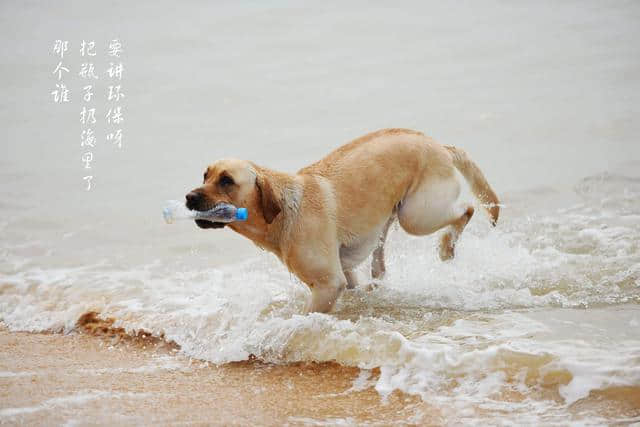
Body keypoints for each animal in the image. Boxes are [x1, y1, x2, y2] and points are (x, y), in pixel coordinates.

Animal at [185, 129, 500, 312]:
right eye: (205, 175)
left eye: (227, 181)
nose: (189, 197)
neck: (284, 212)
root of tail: (441, 145)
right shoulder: (345, 274)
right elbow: (353, 285)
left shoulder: (328, 284)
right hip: (389, 219)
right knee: (379, 263)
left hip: (417, 215)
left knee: (467, 209)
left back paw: (447, 246)